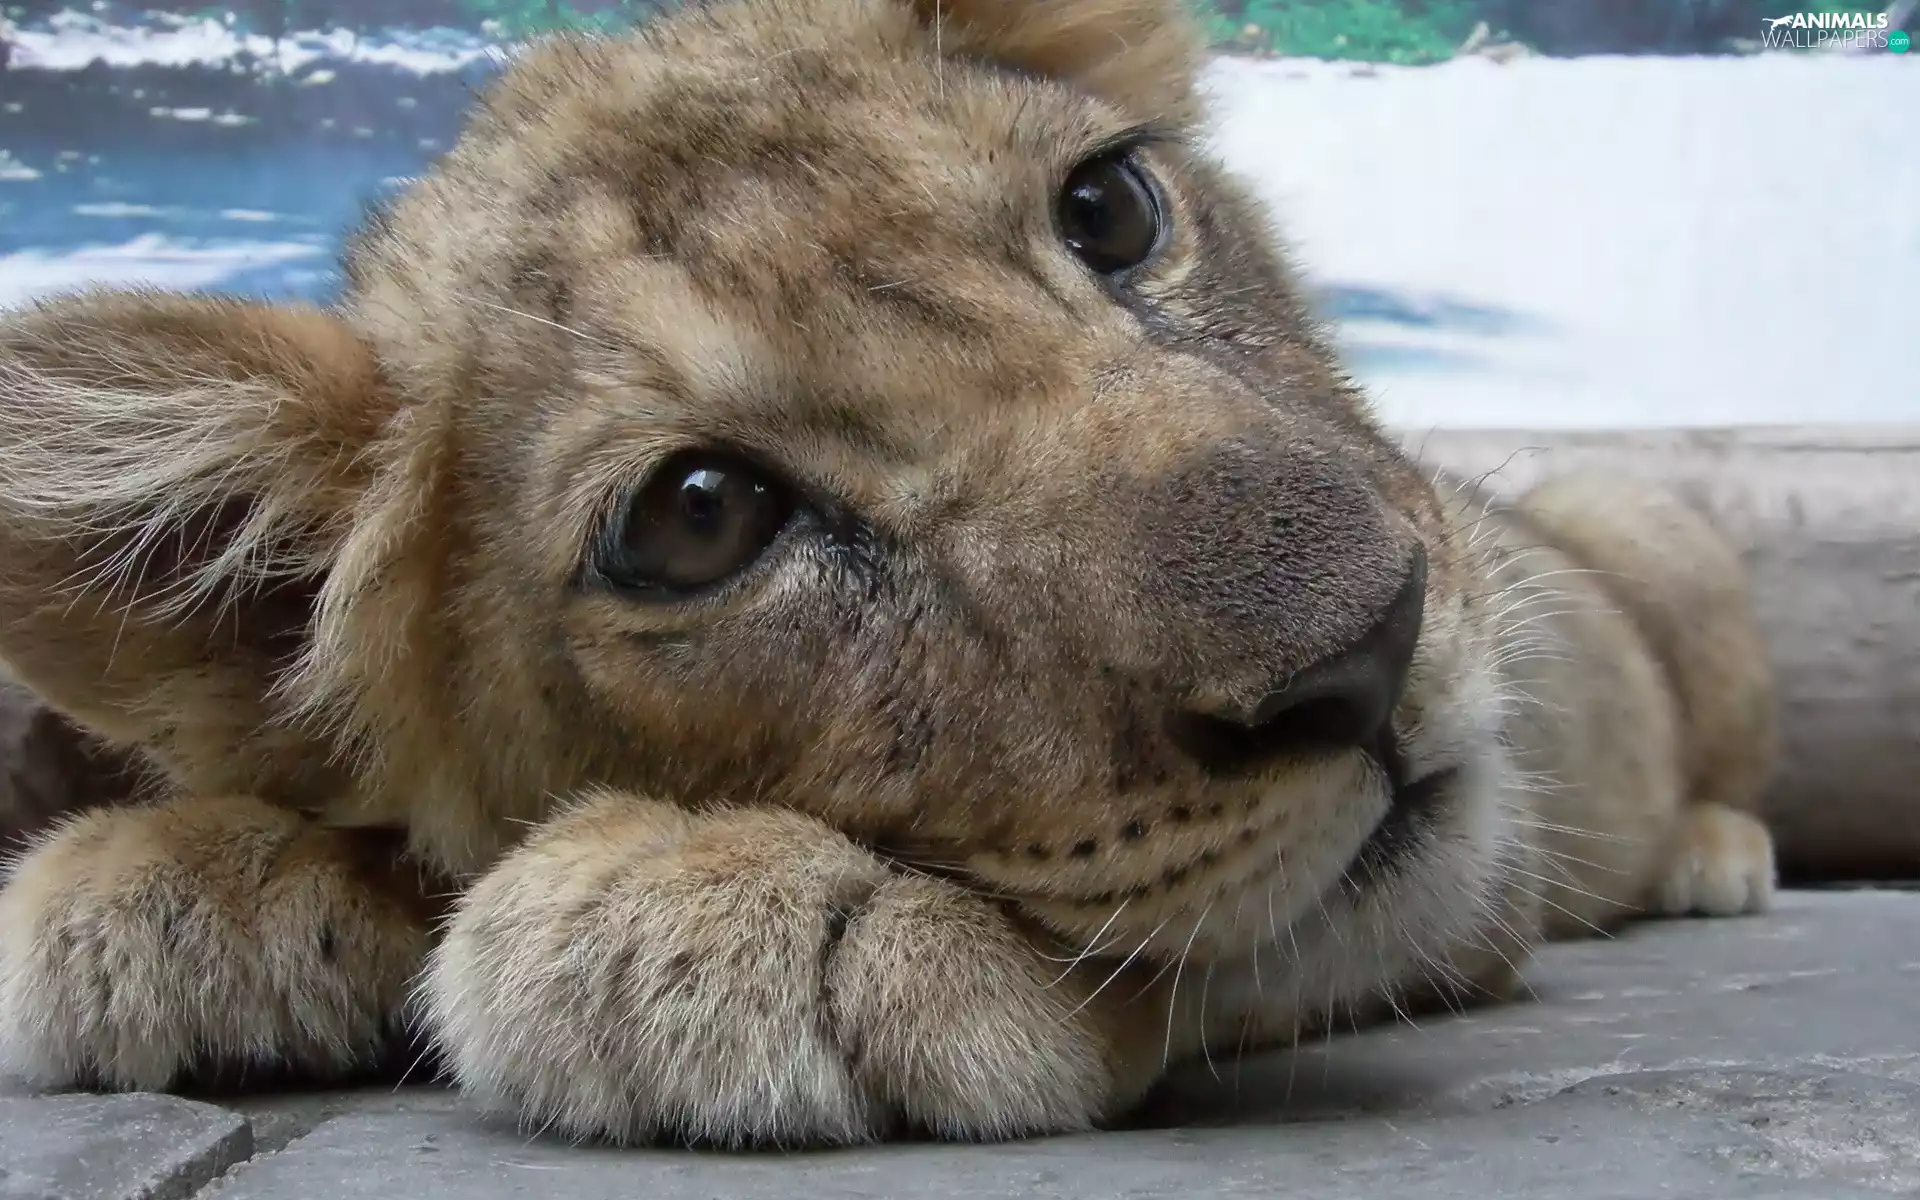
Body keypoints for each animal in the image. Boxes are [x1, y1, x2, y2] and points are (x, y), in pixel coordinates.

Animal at [0, 0, 1776, 1149]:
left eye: (1110, 207)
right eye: (699, 517)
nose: (1376, 643)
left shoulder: (1481, 886)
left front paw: (733, 911)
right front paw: (174, 880)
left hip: (1655, 524)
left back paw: (1720, 856)